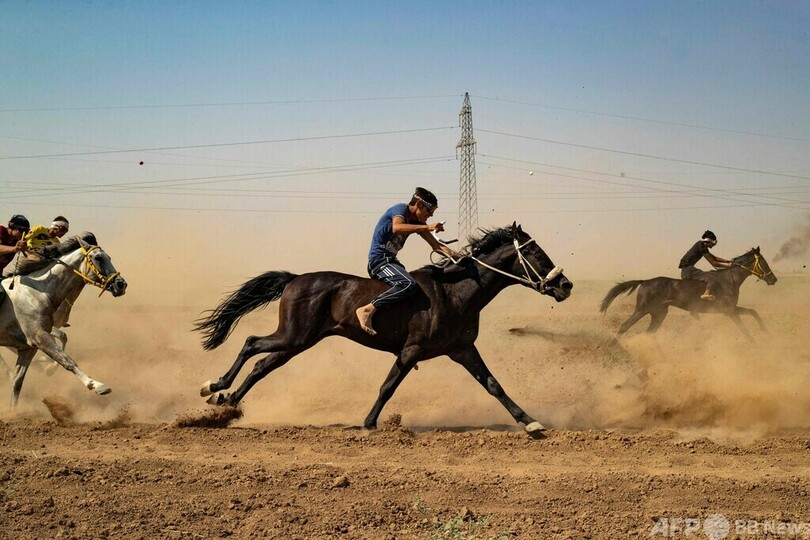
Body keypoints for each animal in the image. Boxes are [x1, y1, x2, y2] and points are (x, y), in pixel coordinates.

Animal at [0, 233, 128, 406]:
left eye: (109, 257)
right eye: (98, 258)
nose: (121, 284)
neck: (37, 292)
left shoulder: (28, 347)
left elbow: (17, 383)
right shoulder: (40, 337)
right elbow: (67, 360)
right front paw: (97, 385)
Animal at [195, 223, 573, 436]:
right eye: (536, 252)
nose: (565, 285)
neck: (455, 292)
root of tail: (294, 279)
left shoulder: (462, 349)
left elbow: (494, 385)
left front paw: (531, 422)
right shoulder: (412, 350)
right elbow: (388, 386)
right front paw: (369, 423)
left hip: (298, 341)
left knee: (261, 364)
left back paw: (228, 404)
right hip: (294, 335)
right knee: (250, 342)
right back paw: (214, 387)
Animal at [600, 247, 776, 341]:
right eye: (763, 262)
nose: (773, 279)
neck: (730, 279)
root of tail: (644, 281)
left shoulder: (731, 309)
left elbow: (753, 312)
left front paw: (766, 332)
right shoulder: (729, 311)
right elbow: (745, 331)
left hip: (658, 314)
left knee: (648, 333)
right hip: (641, 309)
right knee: (625, 326)